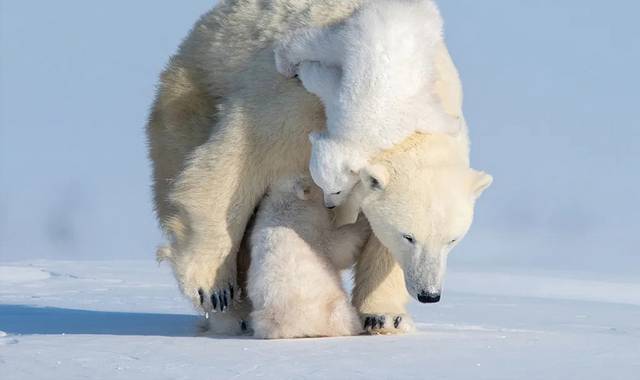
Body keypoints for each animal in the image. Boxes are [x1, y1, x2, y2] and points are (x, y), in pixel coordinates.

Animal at [250, 176, 370, 338]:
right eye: (319, 184)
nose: (330, 206)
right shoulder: (310, 232)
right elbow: (338, 247)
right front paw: (363, 220)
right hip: (329, 307)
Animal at [276, 0, 460, 206]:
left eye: (337, 191)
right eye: (321, 187)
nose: (329, 205)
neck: (355, 130)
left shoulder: (399, 119)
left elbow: (428, 116)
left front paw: (454, 125)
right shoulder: (338, 101)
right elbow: (321, 80)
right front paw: (303, 69)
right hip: (354, 35)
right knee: (320, 43)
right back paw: (285, 62)